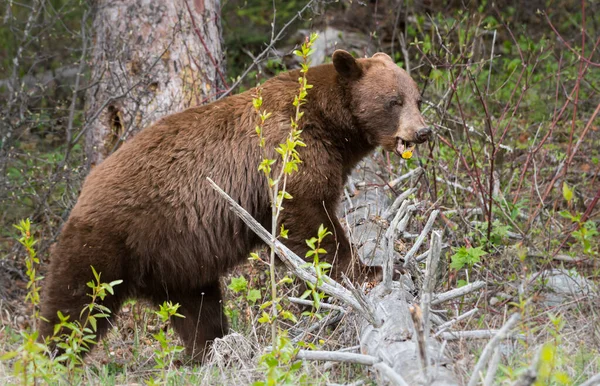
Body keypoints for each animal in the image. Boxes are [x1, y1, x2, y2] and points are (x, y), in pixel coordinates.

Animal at [38, 49, 432, 360]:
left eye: (417, 98)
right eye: (394, 101)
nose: (423, 131)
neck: (329, 124)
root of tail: (83, 192)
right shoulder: (287, 151)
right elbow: (307, 219)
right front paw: (370, 271)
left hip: (176, 259)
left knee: (198, 309)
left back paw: (210, 350)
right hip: (108, 240)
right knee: (74, 303)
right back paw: (52, 356)